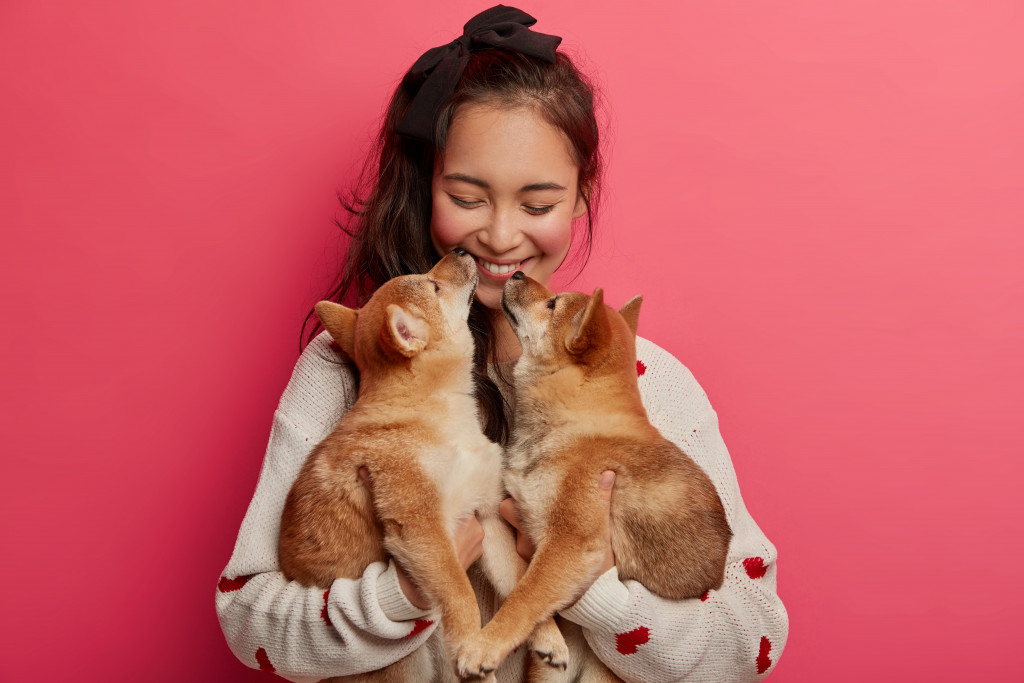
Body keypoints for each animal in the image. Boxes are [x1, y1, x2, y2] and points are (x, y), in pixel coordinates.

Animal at [278, 252, 569, 683]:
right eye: (434, 285)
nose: (460, 252)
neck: (441, 413)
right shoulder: (422, 528)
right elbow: (460, 594)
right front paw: (470, 647)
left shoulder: (487, 518)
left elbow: (518, 585)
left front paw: (546, 636)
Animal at [458, 272, 737, 683]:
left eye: (552, 304)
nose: (519, 274)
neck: (574, 419)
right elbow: (515, 579)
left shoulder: (569, 543)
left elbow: (525, 596)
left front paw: (485, 645)